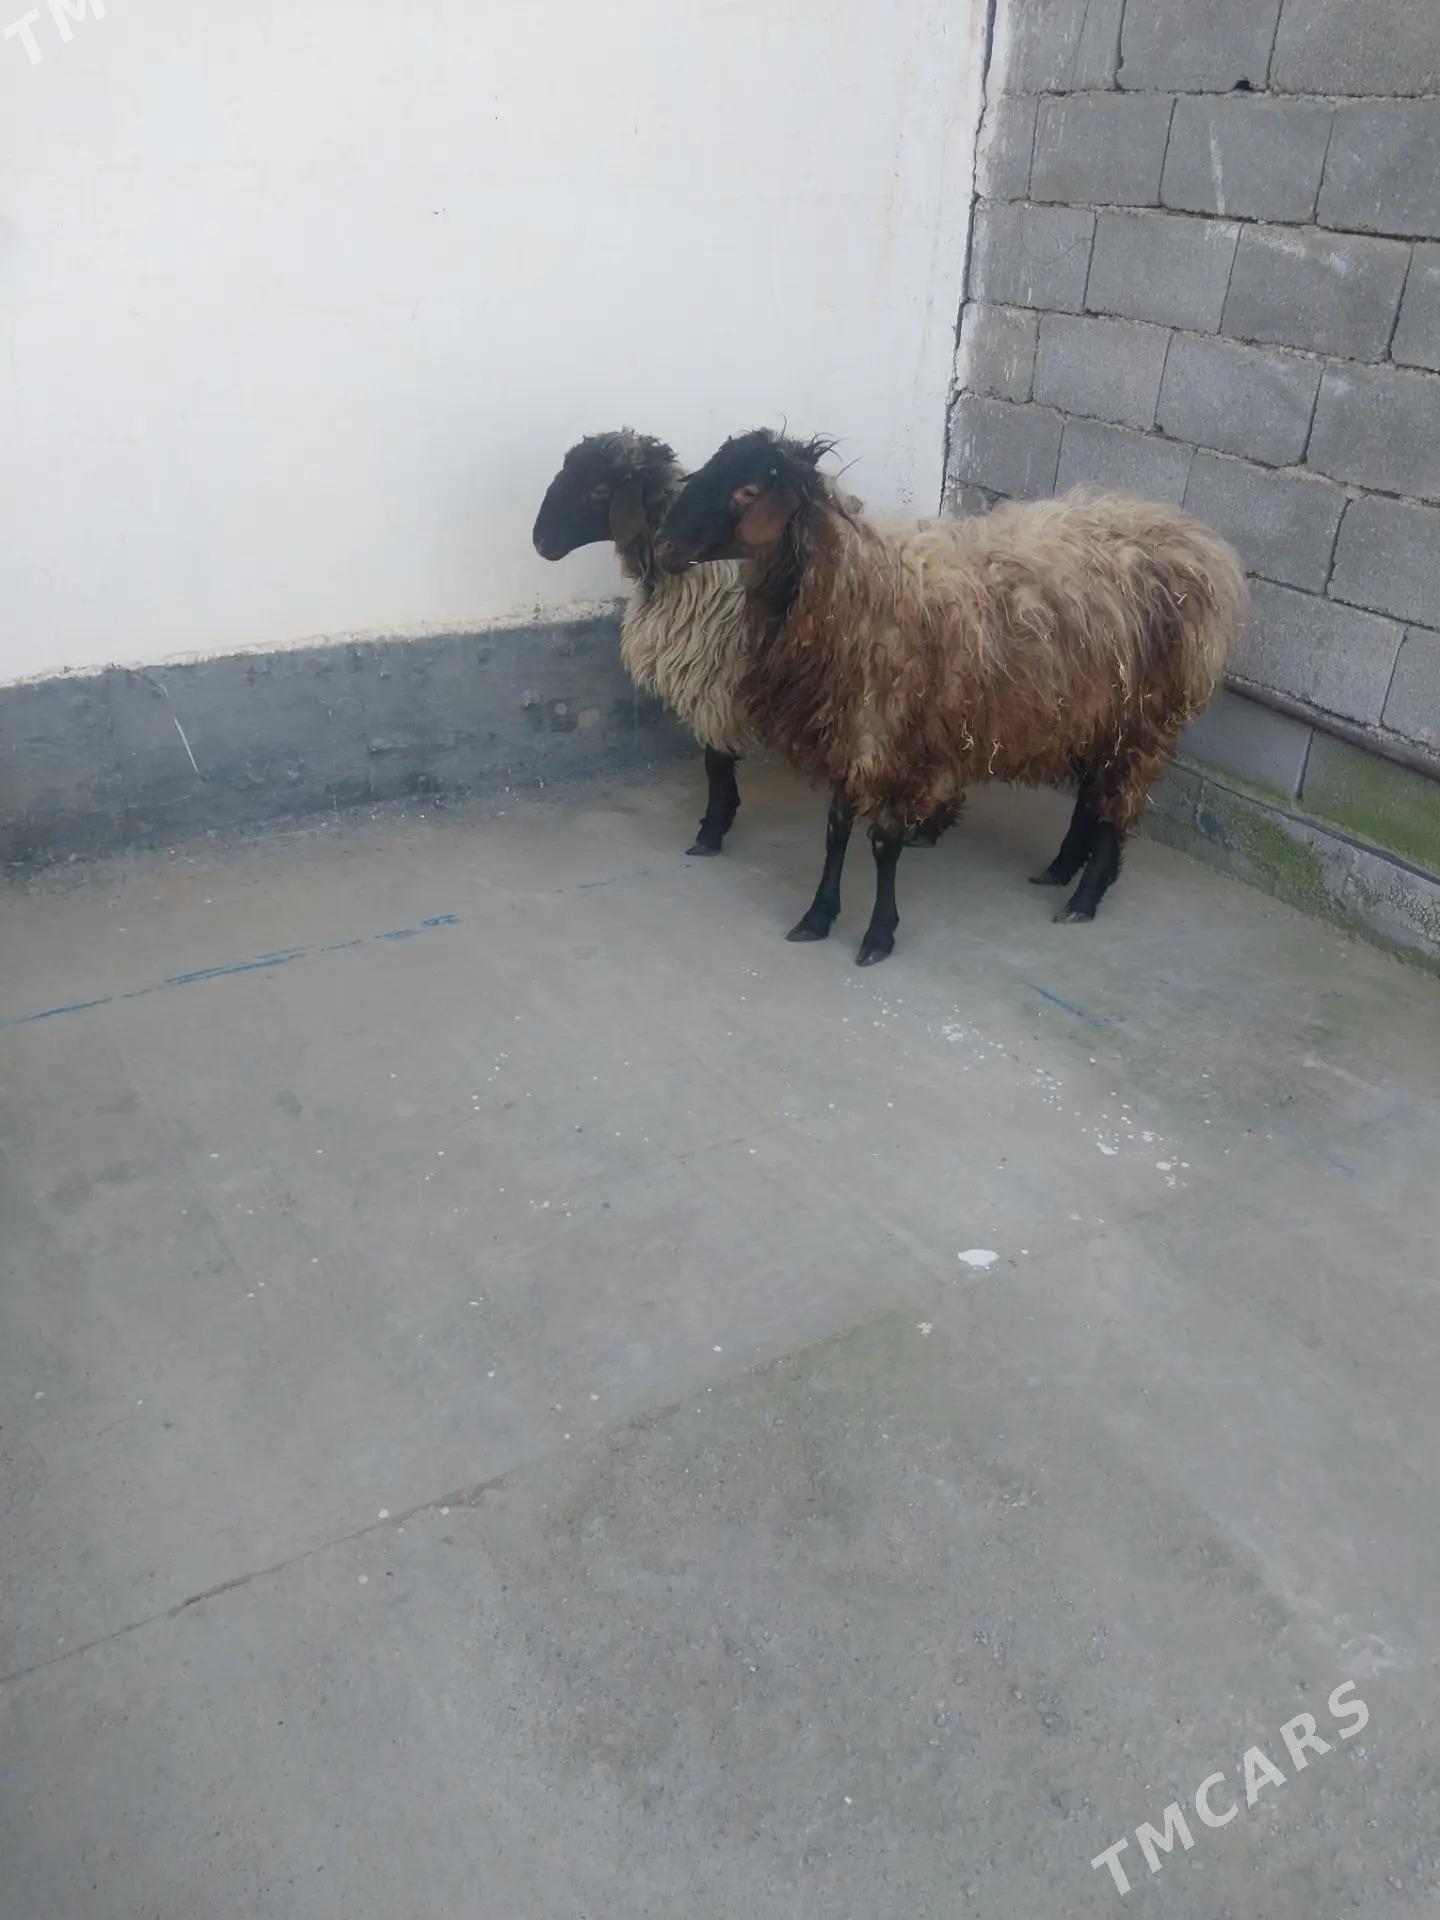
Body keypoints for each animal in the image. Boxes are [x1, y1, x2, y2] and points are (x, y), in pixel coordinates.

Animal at [653, 430, 1247, 963]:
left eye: (747, 491)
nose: (663, 546)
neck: (856, 589)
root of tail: (1195, 538)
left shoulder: (896, 742)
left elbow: (883, 843)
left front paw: (878, 935)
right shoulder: (852, 731)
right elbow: (836, 831)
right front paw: (817, 917)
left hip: (1147, 714)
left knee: (1116, 802)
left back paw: (1085, 895)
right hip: (1097, 708)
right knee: (1091, 794)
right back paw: (1059, 869)